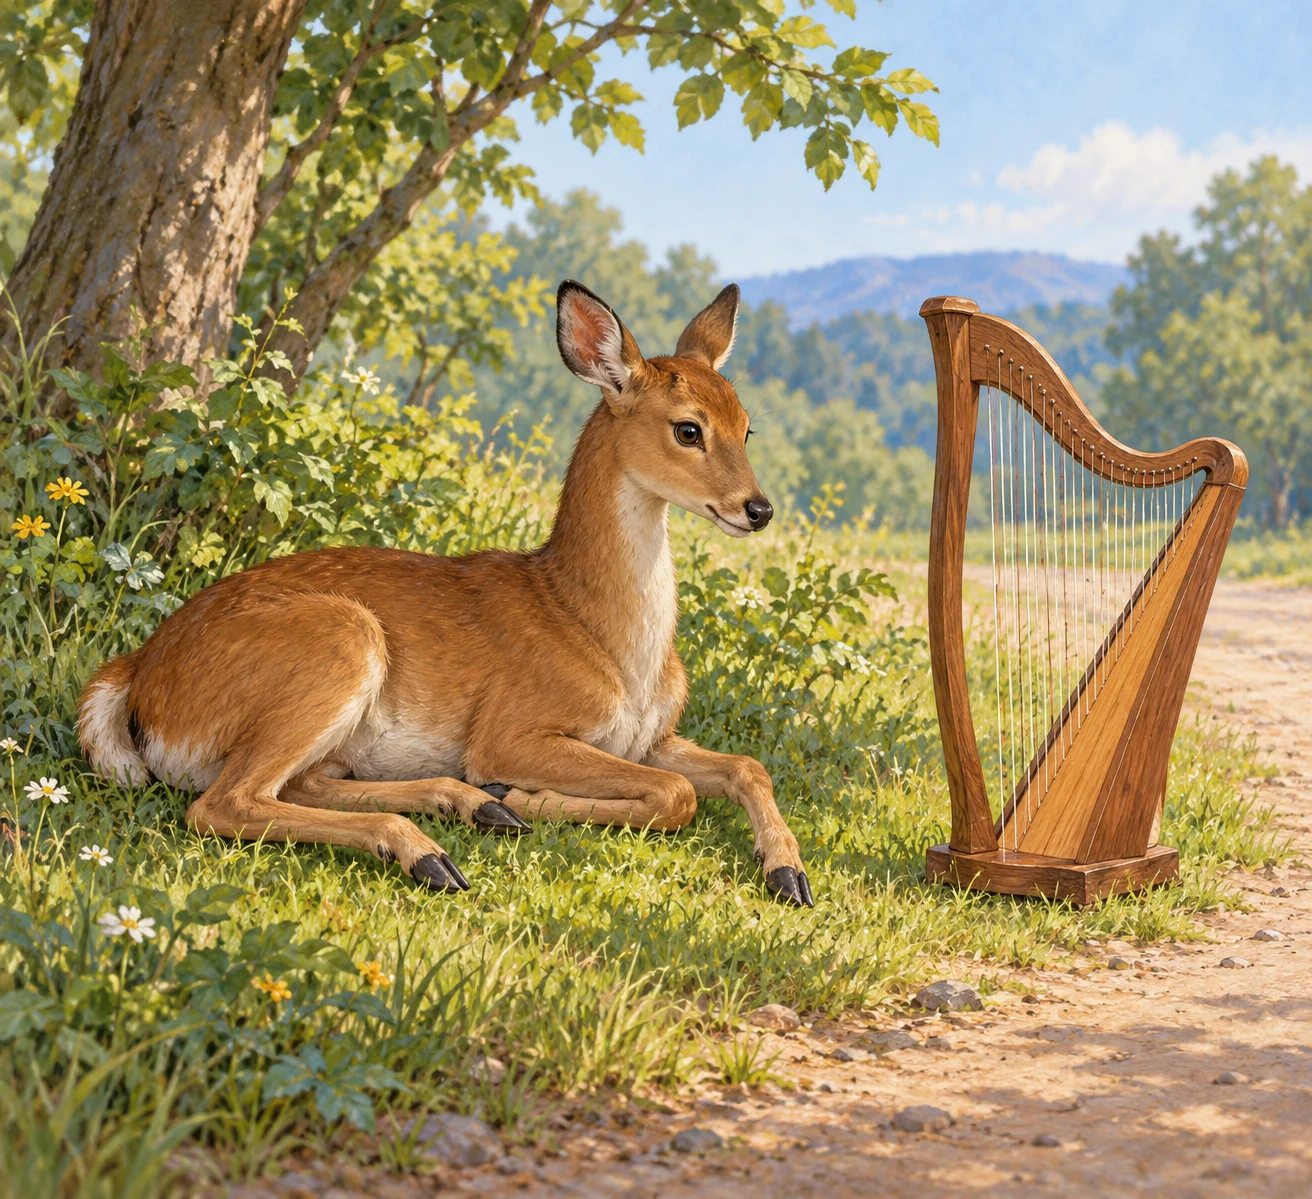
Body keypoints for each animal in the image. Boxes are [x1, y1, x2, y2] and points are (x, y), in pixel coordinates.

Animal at [76, 280, 813, 906]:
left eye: (746, 425)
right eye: (688, 428)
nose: (758, 508)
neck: (600, 632)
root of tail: (137, 673)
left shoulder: (647, 734)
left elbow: (747, 765)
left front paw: (789, 873)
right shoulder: (514, 729)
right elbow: (676, 792)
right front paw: (526, 796)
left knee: (304, 781)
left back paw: (471, 807)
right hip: (338, 640)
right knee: (222, 803)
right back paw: (438, 847)